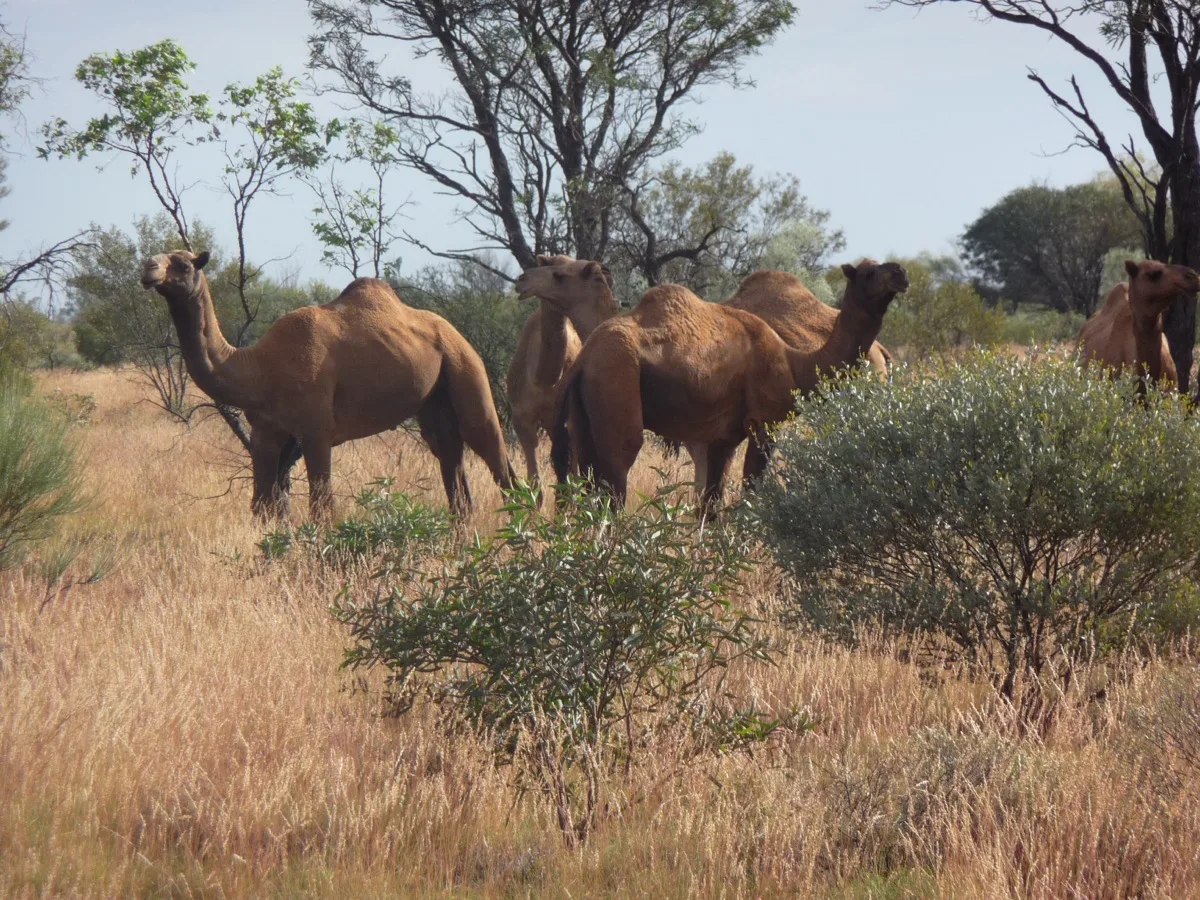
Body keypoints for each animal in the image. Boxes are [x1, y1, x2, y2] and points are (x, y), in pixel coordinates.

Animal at [140, 249, 516, 519]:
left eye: (183, 264)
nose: (148, 268)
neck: (260, 368)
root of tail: (457, 335)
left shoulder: (316, 431)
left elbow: (321, 508)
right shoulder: (265, 434)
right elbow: (263, 507)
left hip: (466, 369)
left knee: (497, 458)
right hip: (434, 402)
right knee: (452, 466)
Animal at [506, 255, 618, 486]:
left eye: (558, 275)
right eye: (548, 264)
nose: (522, 279)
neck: (543, 380)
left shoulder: (569, 422)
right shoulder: (521, 419)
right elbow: (535, 482)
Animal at [550, 259, 909, 515]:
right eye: (867, 272)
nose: (901, 272)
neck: (797, 364)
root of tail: (584, 359)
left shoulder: (723, 435)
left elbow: (711, 502)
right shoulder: (765, 421)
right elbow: (750, 487)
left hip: (584, 412)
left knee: (585, 482)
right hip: (617, 381)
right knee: (615, 478)